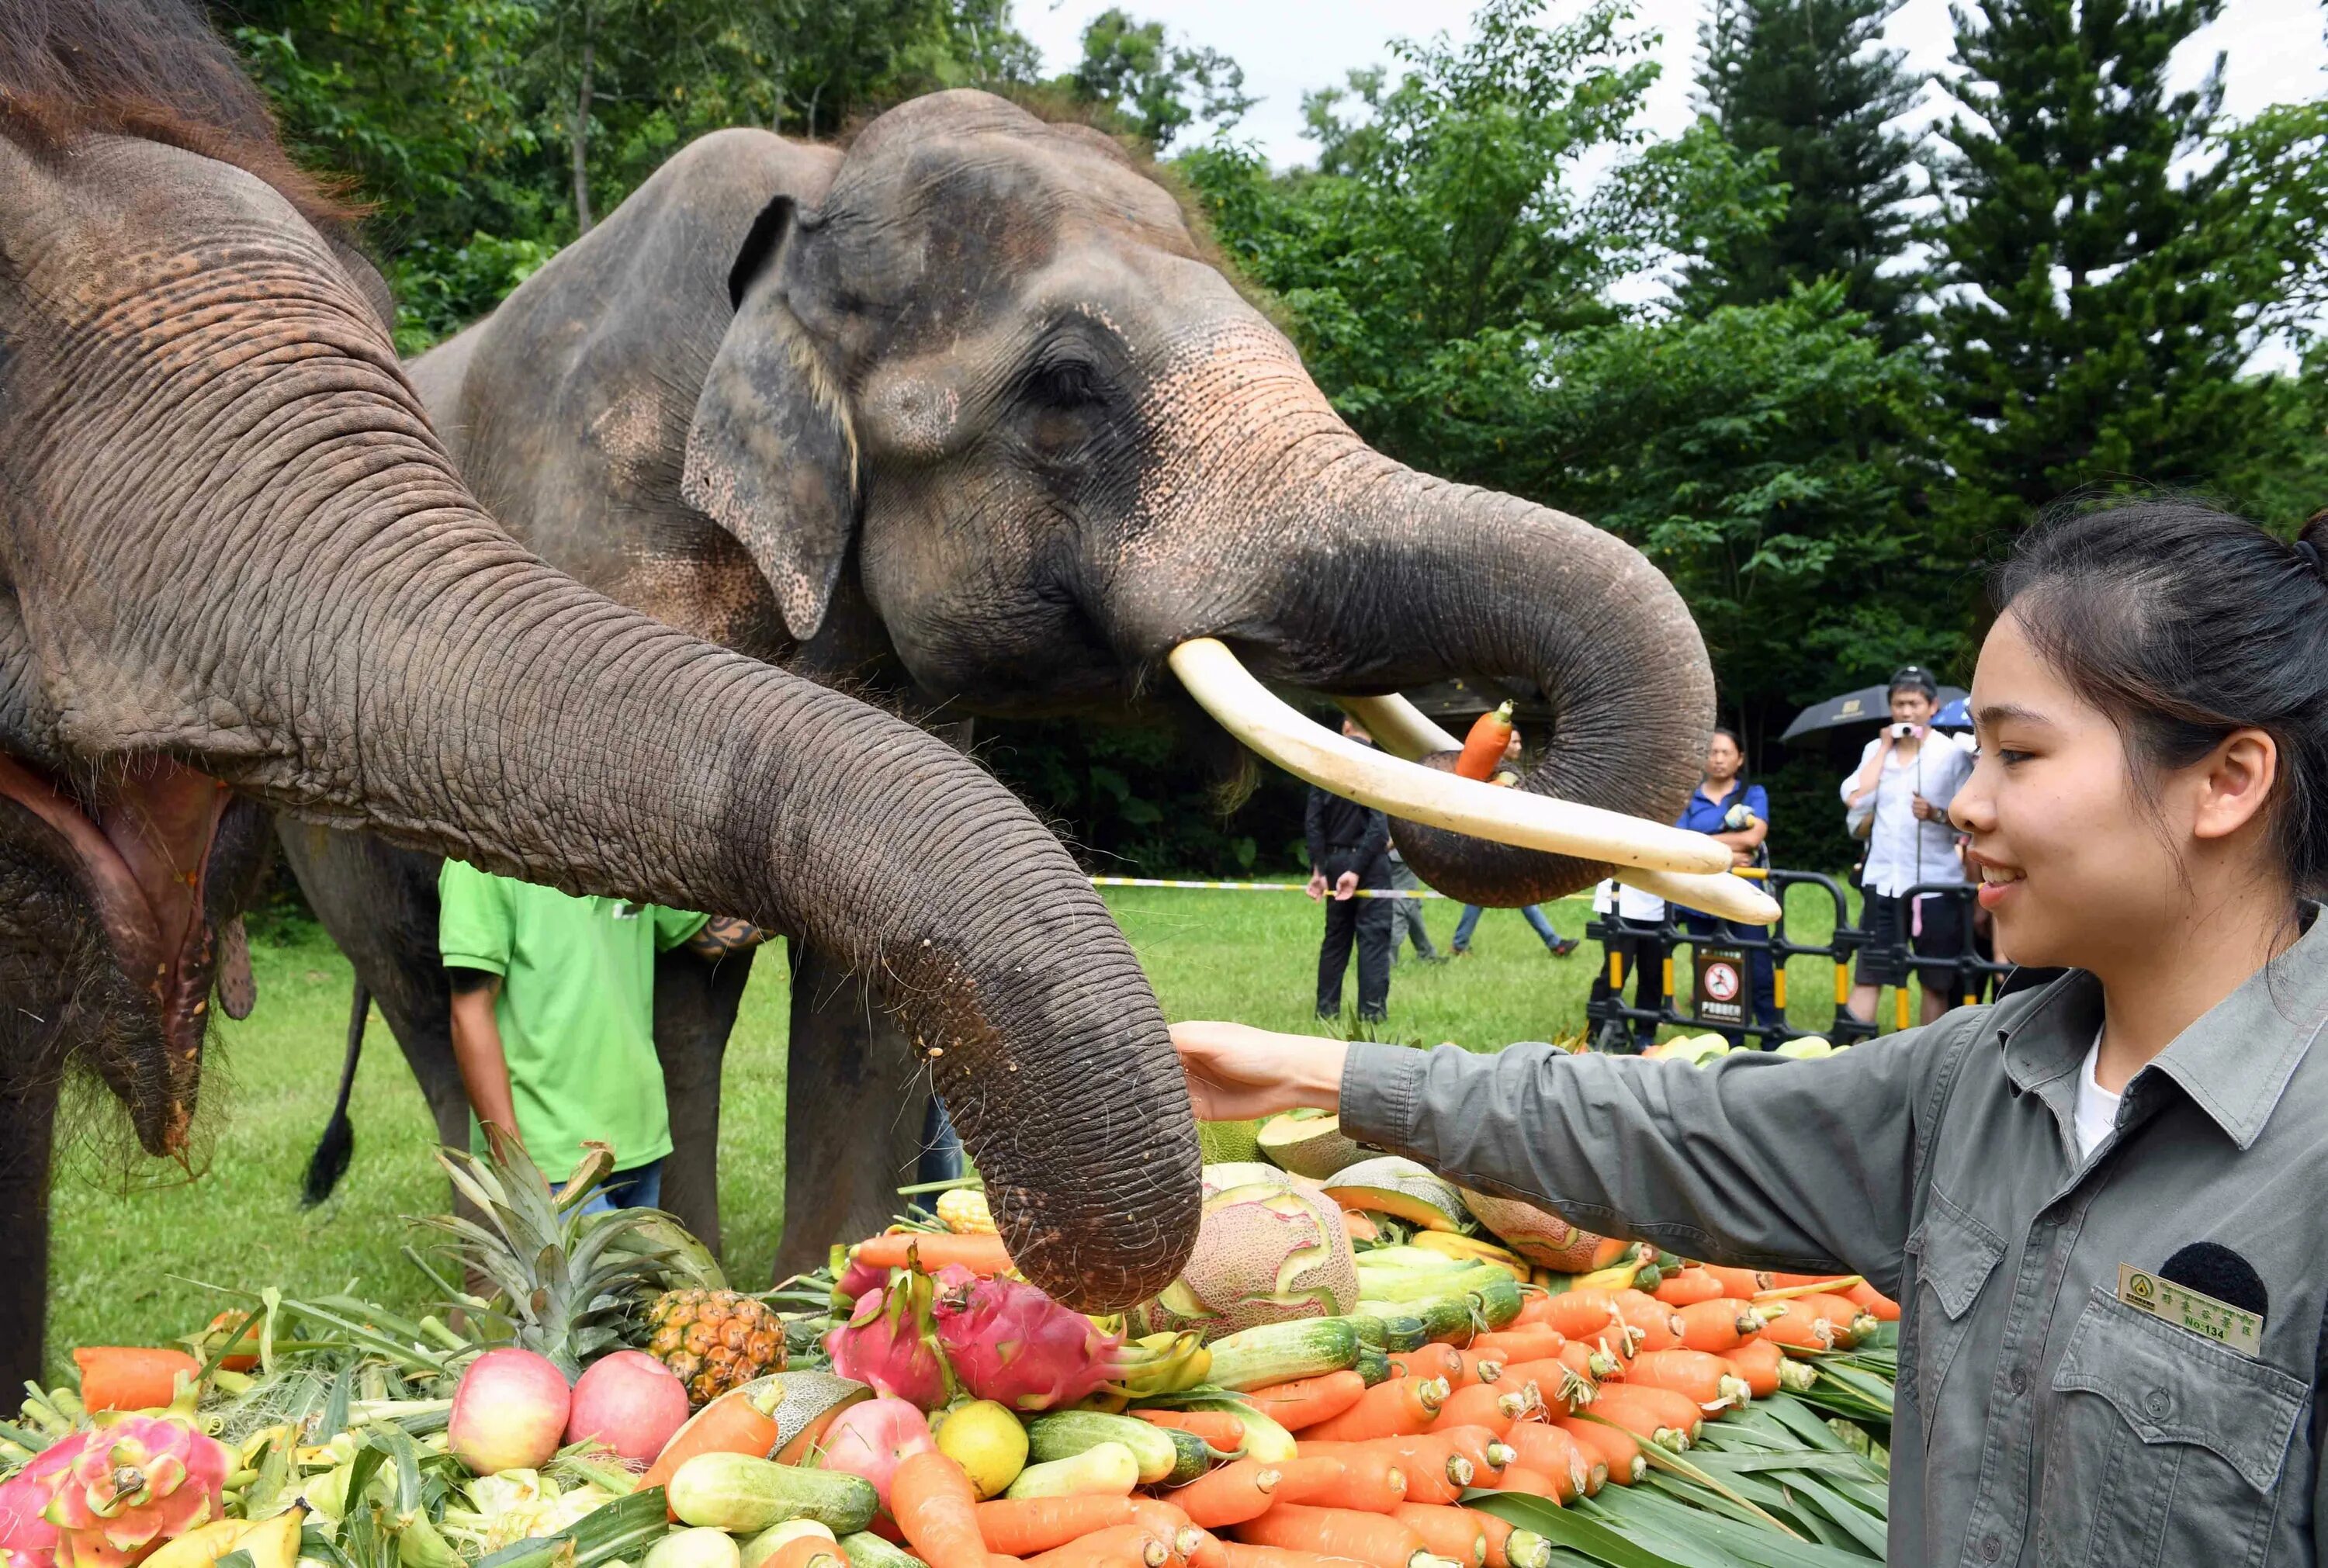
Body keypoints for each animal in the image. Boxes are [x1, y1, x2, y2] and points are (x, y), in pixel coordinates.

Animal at [0, 9, 1201, 1377]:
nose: (1021, 1239)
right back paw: (489, 1288)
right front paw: (732, 1270)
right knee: (423, 994)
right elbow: (674, 1001)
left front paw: (820, 1285)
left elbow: (855, 997)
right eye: (1066, 389)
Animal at [282, 88, 1751, 1284]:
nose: (1503, 729)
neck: (811, 196)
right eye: (1066, 388)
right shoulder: (603, 534)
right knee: (428, 989)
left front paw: (826, 1292)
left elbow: (868, 973)